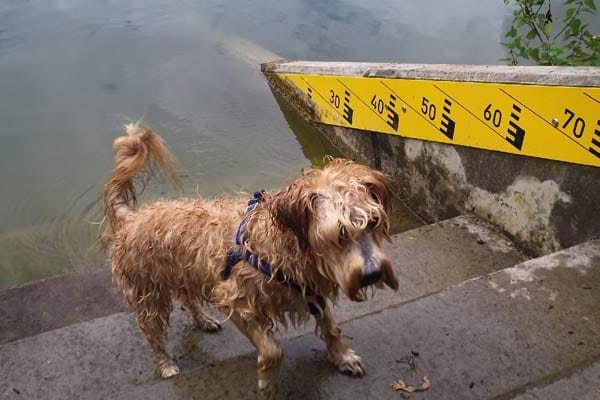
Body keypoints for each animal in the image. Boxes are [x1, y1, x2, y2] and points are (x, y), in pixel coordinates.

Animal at [102, 122, 398, 390]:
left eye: (373, 222)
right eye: (338, 234)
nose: (372, 274)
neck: (277, 246)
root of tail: (131, 219)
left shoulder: (308, 288)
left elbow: (330, 327)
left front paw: (343, 357)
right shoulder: (234, 300)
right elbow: (271, 350)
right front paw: (268, 381)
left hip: (184, 272)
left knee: (188, 298)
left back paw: (203, 319)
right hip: (147, 292)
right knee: (153, 333)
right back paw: (166, 364)